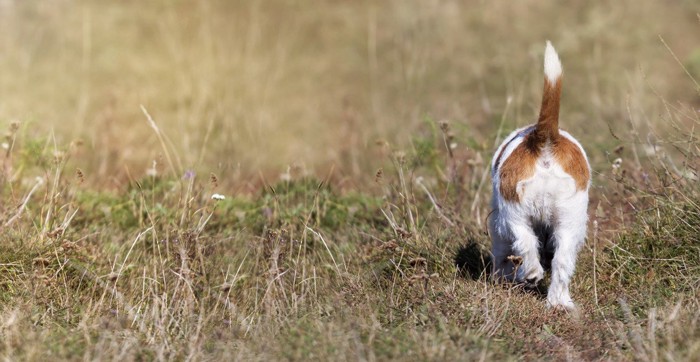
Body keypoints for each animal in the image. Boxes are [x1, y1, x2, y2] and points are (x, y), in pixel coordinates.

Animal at [486, 41, 592, 308]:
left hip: (513, 212)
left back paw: (532, 274)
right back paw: (559, 303)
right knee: (561, 261)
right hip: (570, 218)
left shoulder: (499, 219)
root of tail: (543, 139)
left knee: (525, 241)